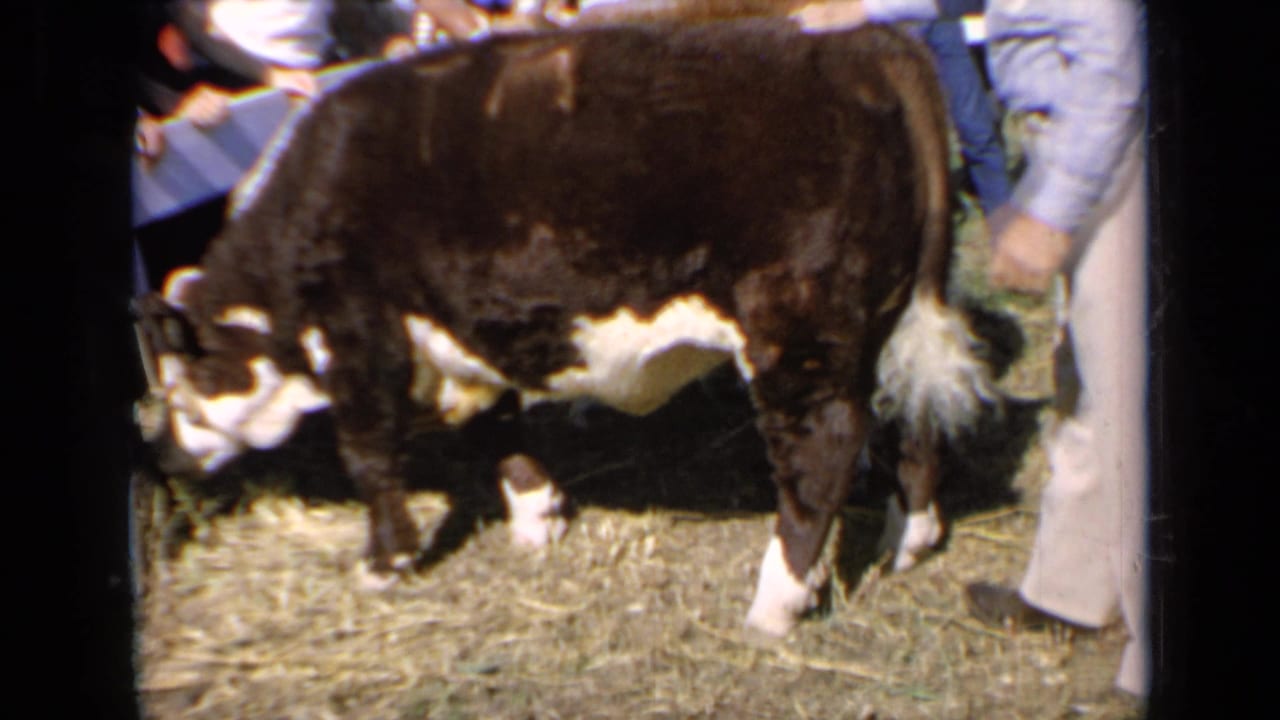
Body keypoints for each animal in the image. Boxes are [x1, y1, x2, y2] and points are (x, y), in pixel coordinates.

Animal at [135, 16, 995, 637]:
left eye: (182, 380)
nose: (163, 453)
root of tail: (859, 44)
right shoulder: (470, 334)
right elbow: (497, 429)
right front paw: (536, 514)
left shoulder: (359, 338)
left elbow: (369, 454)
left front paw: (385, 560)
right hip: (896, 317)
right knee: (914, 418)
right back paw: (910, 538)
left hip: (797, 332)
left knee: (823, 451)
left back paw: (776, 604)